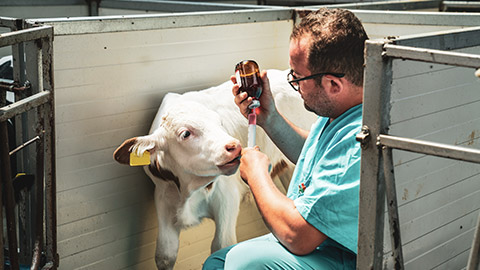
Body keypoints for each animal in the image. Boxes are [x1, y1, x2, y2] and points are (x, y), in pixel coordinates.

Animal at [112, 70, 316, 270]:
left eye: (219, 123)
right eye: (185, 133)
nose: (235, 146)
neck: (188, 191)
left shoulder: (227, 197)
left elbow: (222, 245)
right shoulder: (163, 197)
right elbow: (165, 254)